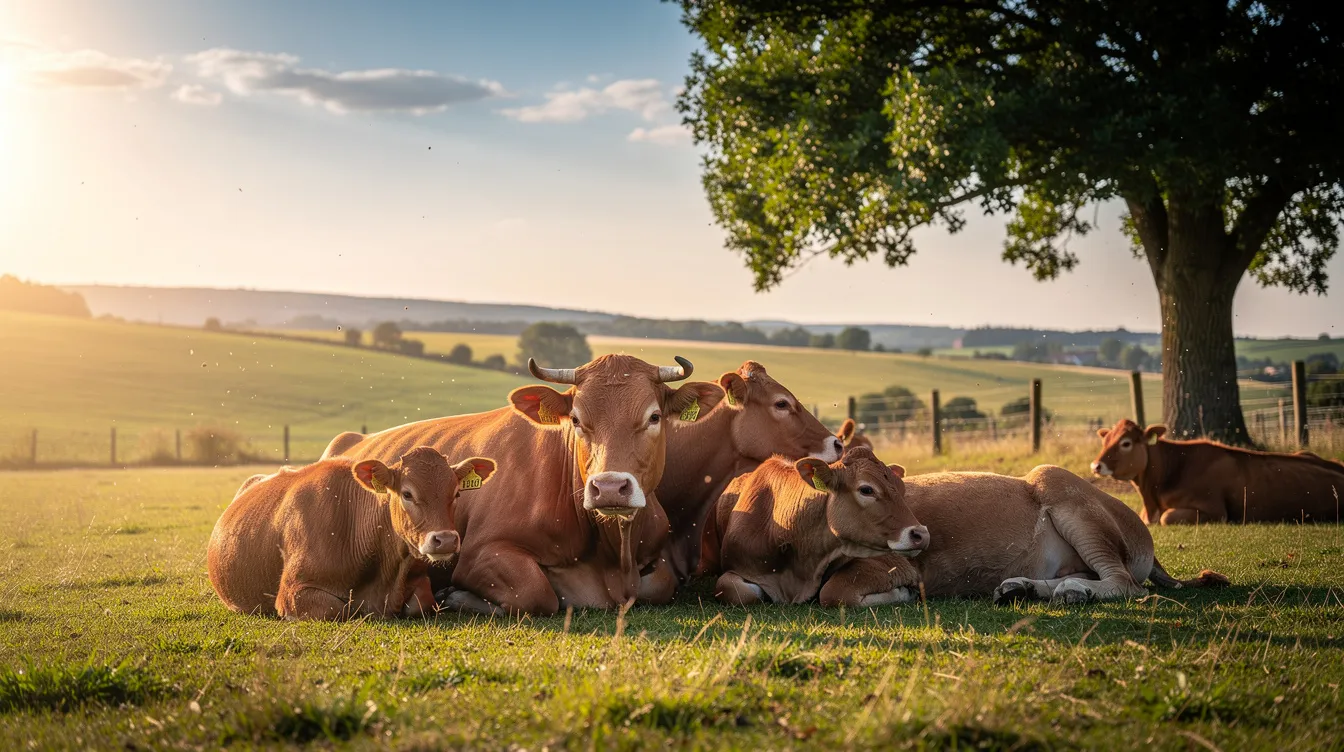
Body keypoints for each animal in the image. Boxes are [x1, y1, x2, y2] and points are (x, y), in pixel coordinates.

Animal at [207, 447, 495, 620]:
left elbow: (422, 602)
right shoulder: (293, 591)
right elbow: (338, 609)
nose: (445, 540)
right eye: (407, 494)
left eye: (456, 493)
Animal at [320, 354, 724, 616]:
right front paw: (457, 597)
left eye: (654, 417)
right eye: (576, 420)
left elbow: (661, 585)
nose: (609, 488)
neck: (614, 555)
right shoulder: (481, 552)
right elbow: (537, 593)